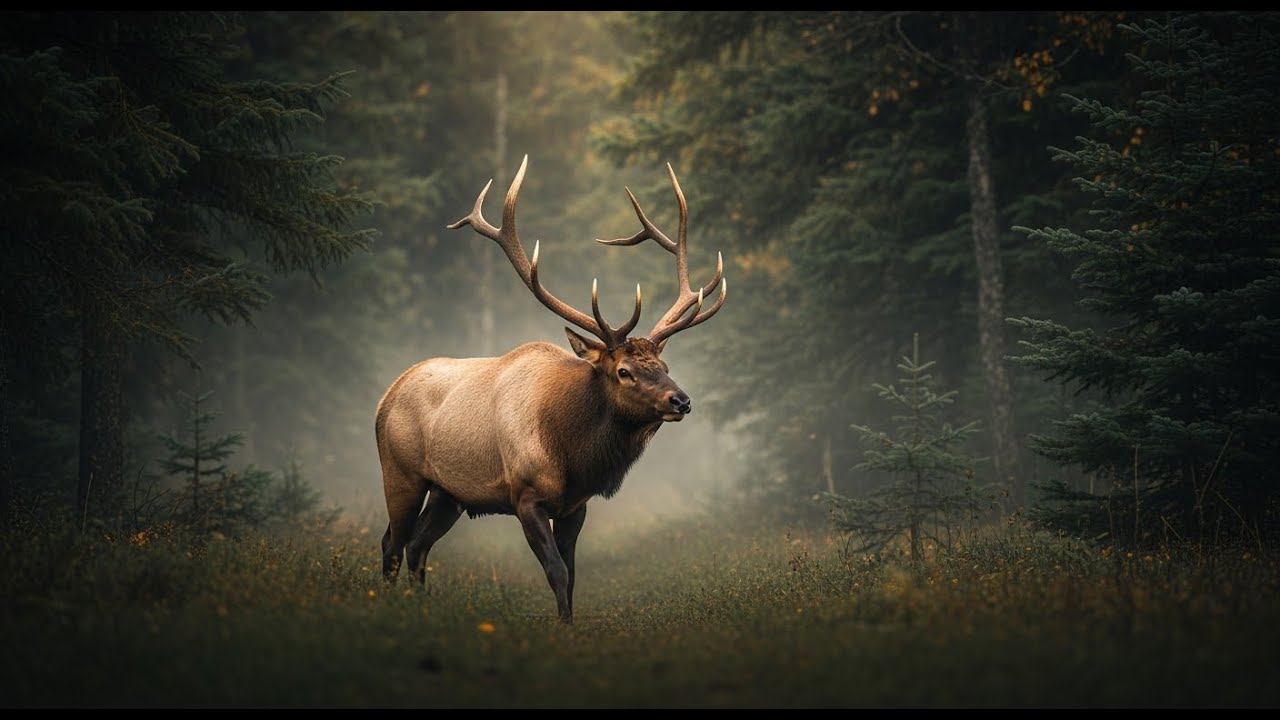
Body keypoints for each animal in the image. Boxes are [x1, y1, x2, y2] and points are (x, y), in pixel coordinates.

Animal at [375, 155, 726, 623]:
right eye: (624, 371)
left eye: (664, 366)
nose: (681, 400)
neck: (571, 453)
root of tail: (385, 397)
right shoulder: (526, 496)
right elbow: (557, 571)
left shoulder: (576, 505)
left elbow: (573, 576)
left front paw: (569, 622)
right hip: (401, 473)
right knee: (392, 543)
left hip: (449, 493)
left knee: (416, 544)